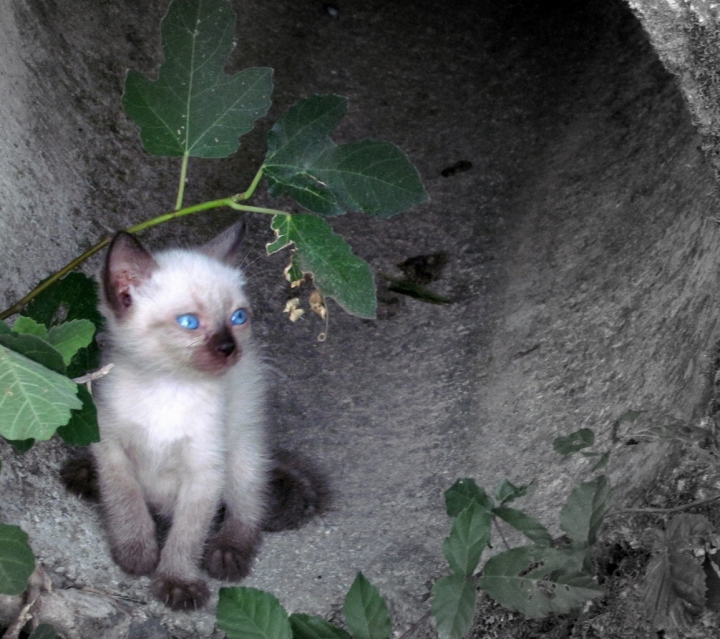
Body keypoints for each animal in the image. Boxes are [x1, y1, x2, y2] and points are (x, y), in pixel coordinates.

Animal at [71, 224, 324, 608]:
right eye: (188, 322)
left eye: (238, 317)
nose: (229, 348)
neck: (168, 387)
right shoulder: (110, 447)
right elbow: (126, 503)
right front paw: (136, 555)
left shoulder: (205, 471)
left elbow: (187, 535)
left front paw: (177, 582)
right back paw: (85, 474)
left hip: (242, 450)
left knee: (247, 506)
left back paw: (228, 553)